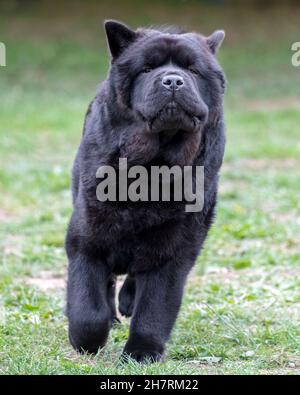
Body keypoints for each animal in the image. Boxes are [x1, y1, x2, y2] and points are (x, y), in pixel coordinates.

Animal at [65, 20, 225, 364]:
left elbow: (155, 308)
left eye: (193, 70)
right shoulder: (88, 235)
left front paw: (142, 353)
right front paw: (86, 342)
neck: (153, 166)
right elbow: (88, 308)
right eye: (147, 68)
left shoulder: (175, 245)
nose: (173, 80)